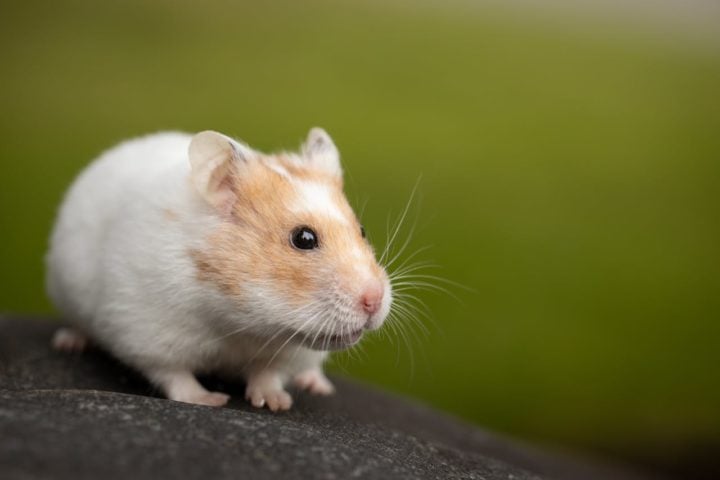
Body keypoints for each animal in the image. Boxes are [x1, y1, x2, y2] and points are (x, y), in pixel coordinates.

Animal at [45, 129, 390, 410]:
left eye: (362, 231)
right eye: (303, 238)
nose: (374, 301)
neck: (240, 322)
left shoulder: (287, 352)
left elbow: (268, 373)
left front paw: (276, 403)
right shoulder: (146, 331)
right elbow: (174, 375)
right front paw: (211, 400)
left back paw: (316, 384)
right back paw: (69, 342)